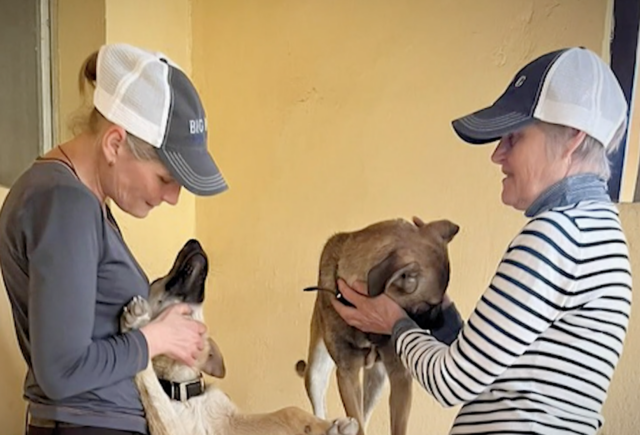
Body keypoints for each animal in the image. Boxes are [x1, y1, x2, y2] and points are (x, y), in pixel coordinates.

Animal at [298, 217, 458, 435]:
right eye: (429, 306)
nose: (441, 324)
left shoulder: (400, 377)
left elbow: (397, 426)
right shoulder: (347, 374)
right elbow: (356, 419)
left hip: (377, 381)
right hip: (316, 373)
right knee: (322, 409)